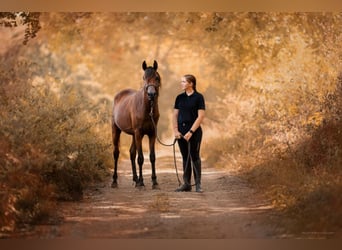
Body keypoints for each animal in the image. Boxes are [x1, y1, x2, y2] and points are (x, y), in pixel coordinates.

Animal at [111, 61, 162, 189]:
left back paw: (135, 179)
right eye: (144, 77)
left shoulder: (152, 134)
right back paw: (114, 181)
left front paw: (154, 182)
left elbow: (152, 157)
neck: (147, 109)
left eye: (157, 77)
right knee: (116, 153)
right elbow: (141, 158)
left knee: (132, 153)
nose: (151, 94)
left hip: (134, 135)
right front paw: (142, 182)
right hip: (116, 130)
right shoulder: (139, 133)